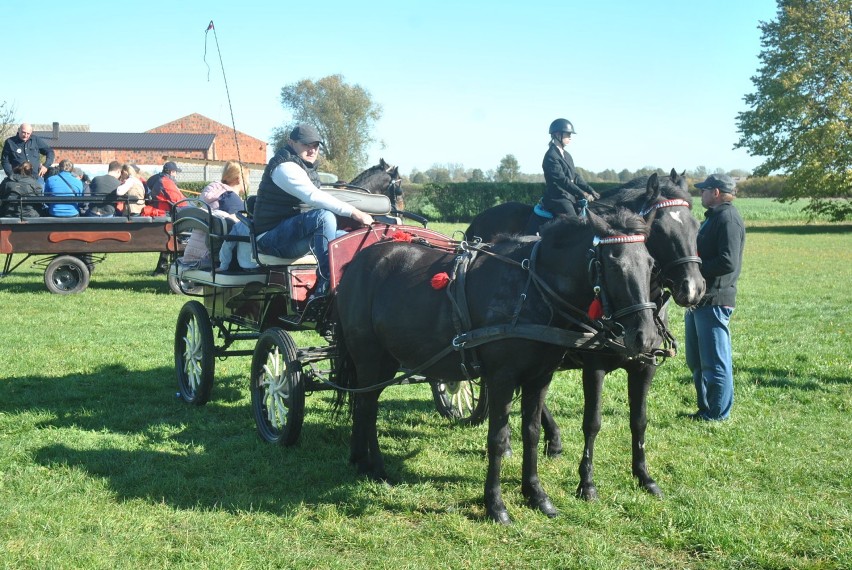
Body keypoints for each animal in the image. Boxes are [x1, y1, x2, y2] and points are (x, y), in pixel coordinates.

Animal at [332, 206, 660, 520]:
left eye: (651, 264)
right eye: (614, 264)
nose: (645, 336)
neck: (531, 289)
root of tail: (357, 264)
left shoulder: (540, 378)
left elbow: (531, 432)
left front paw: (536, 495)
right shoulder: (502, 378)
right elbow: (498, 439)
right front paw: (495, 505)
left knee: (363, 404)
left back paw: (360, 460)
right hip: (372, 359)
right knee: (368, 407)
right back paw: (376, 468)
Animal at [462, 171, 704, 500]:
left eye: (696, 226)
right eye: (662, 230)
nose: (694, 288)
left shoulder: (644, 368)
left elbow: (639, 421)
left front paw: (644, 476)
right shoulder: (593, 367)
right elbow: (592, 422)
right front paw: (587, 483)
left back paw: (552, 440)